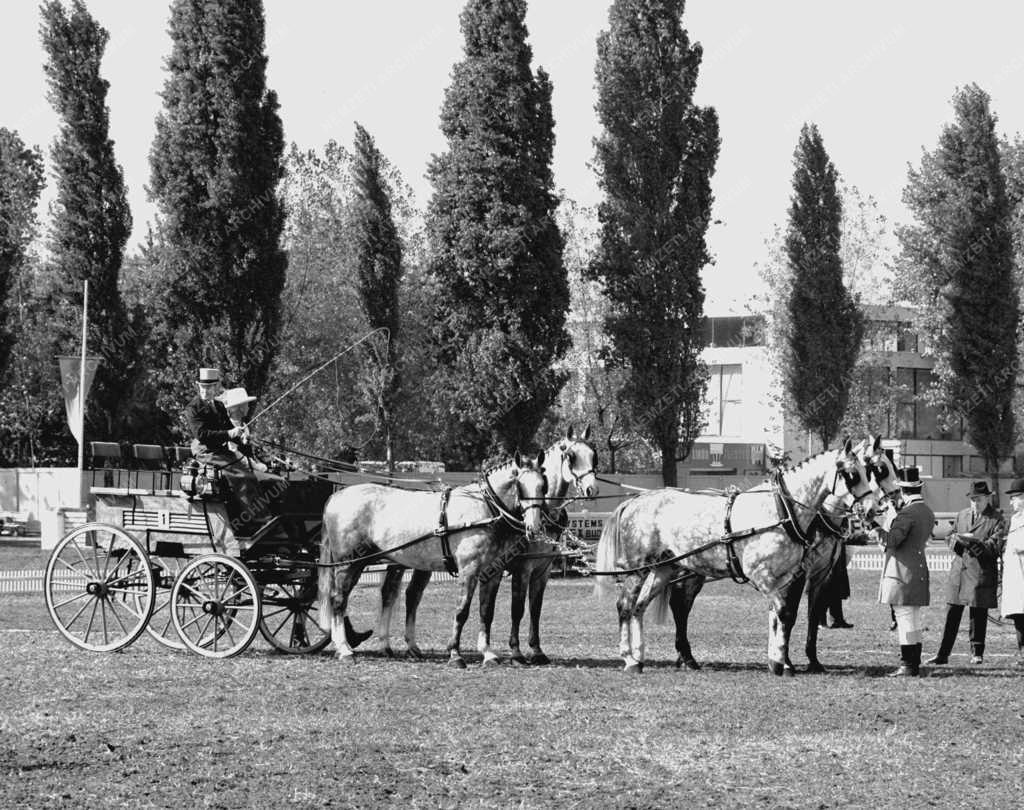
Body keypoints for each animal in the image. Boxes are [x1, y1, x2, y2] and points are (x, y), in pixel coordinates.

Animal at [317, 452, 548, 667]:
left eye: (543, 485)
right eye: (520, 484)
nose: (534, 527)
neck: (484, 508)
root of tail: (336, 497)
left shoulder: (492, 572)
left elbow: (486, 611)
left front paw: (488, 654)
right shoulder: (469, 569)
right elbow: (462, 611)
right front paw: (455, 654)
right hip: (348, 563)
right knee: (339, 600)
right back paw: (344, 649)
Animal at [598, 440, 876, 675]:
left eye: (869, 471)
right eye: (851, 474)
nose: (874, 509)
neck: (781, 510)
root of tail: (635, 501)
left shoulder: (786, 576)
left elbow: (779, 615)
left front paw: (777, 660)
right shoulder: (763, 574)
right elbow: (785, 613)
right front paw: (782, 663)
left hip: (662, 569)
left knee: (640, 607)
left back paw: (642, 657)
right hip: (638, 569)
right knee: (626, 606)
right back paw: (630, 659)